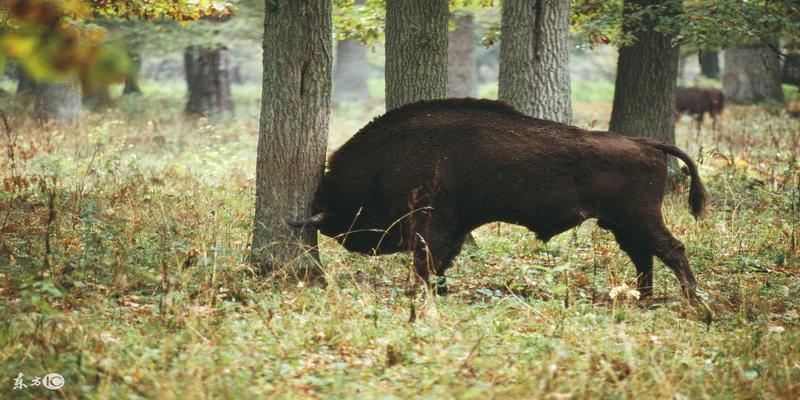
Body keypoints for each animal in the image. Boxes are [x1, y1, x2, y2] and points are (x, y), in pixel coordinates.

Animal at [288, 98, 708, 298]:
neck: (386, 161)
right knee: (644, 256)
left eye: (346, 205)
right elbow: (441, 261)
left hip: (638, 218)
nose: (353, 243)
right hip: (621, 223)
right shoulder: (452, 228)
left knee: (671, 249)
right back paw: (644, 297)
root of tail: (645, 143)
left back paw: (690, 299)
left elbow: (427, 260)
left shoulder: (431, 222)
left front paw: (419, 292)